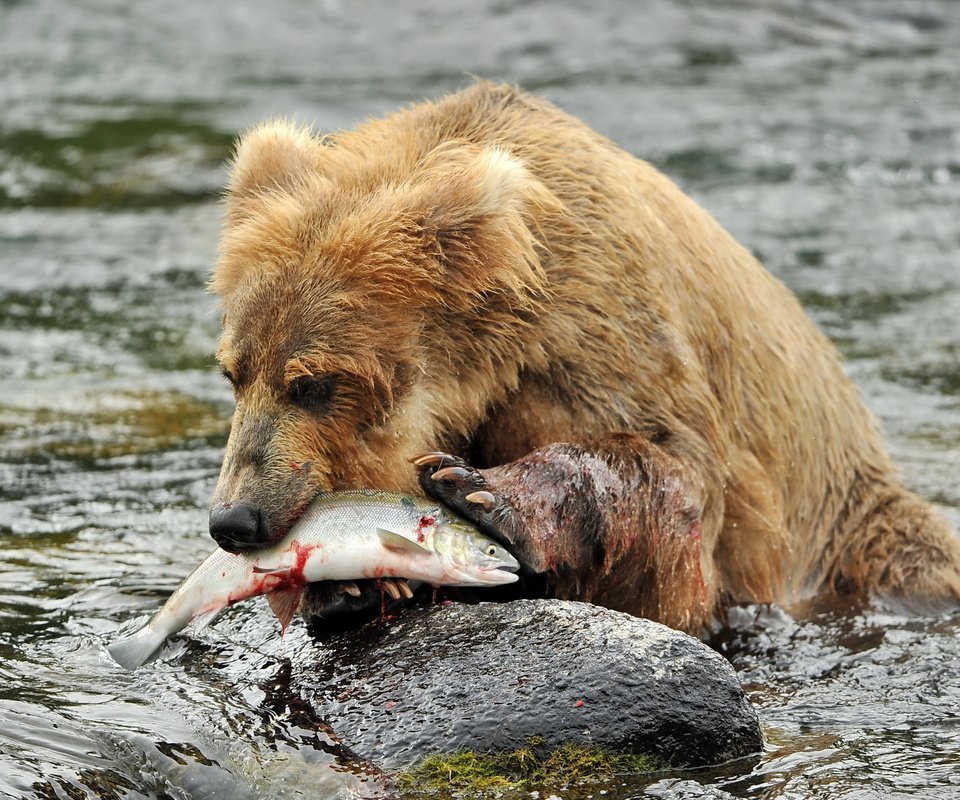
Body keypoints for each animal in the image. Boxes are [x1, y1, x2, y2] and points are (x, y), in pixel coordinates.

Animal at [208, 79, 960, 632]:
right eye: (235, 373)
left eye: (314, 383)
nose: (234, 520)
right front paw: (349, 586)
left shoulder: (601, 328)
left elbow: (673, 477)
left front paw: (481, 490)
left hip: (854, 530)